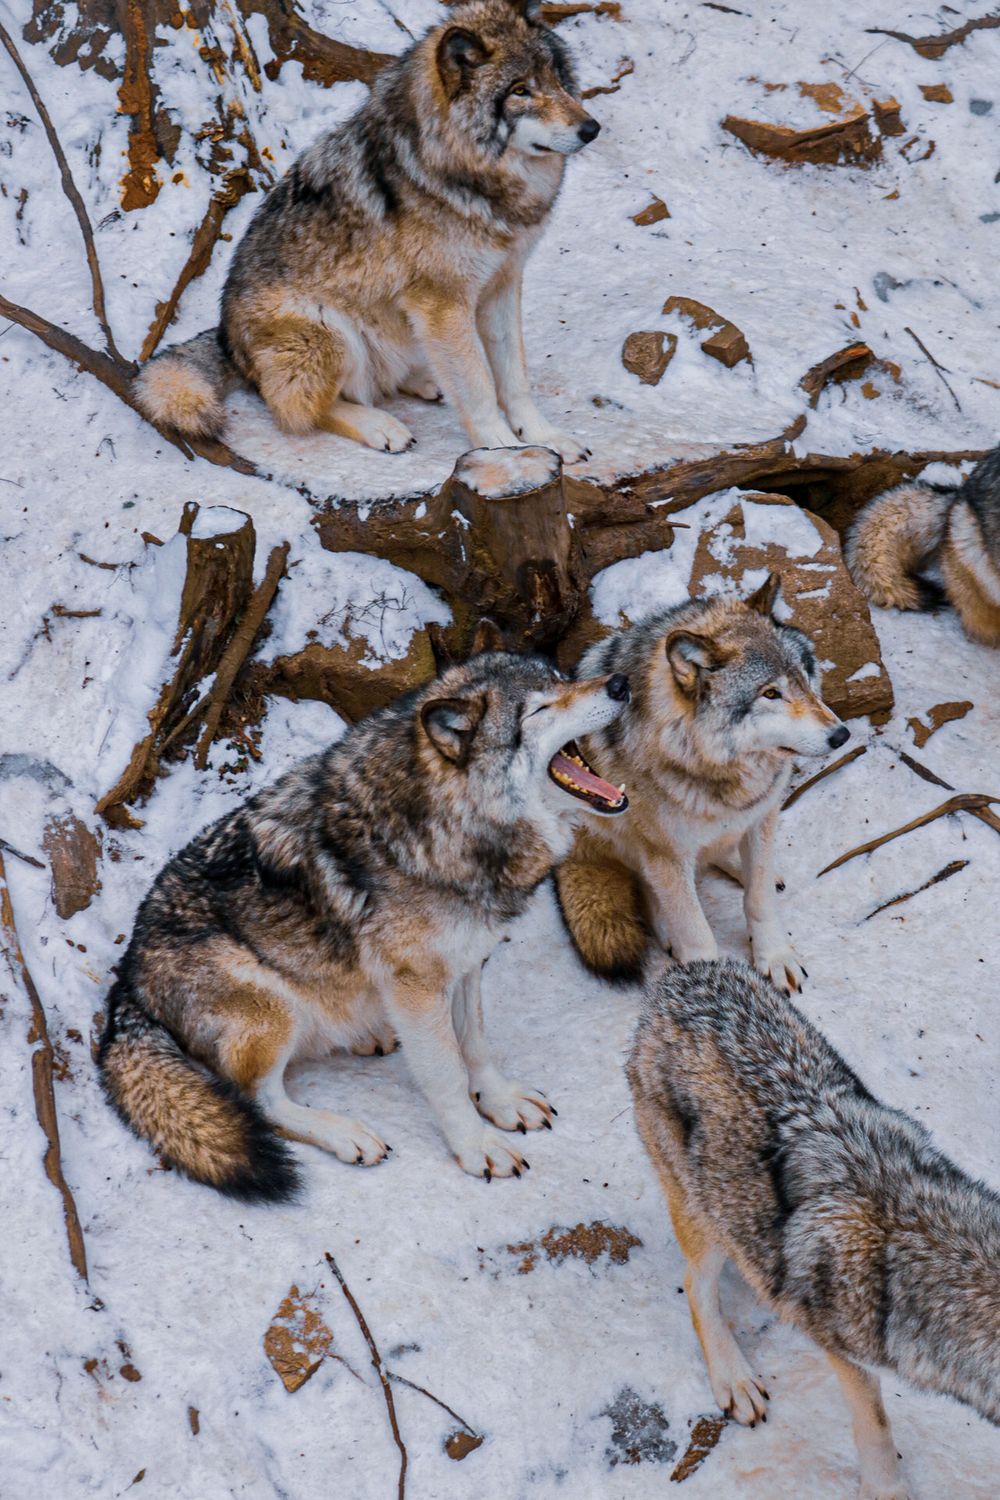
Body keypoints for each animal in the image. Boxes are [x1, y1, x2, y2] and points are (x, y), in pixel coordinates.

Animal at [98, 647, 630, 1201]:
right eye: (540, 709)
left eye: (564, 680)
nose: (619, 683)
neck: (443, 828)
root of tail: (126, 982)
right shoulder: (418, 985)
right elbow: (447, 1075)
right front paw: (476, 1146)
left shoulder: (467, 963)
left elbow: (477, 1046)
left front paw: (501, 1101)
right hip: (270, 1009)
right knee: (263, 1103)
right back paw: (345, 1133)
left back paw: (368, 1034)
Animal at [135, 0, 599, 461]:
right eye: (519, 90)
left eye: (557, 78)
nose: (591, 129)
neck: (463, 174)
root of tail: (226, 342)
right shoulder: (444, 304)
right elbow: (479, 388)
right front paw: (504, 452)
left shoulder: (501, 284)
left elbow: (514, 378)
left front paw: (543, 435)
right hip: (328, 332)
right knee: (294, 408)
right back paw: (381, 425)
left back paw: (423, 382)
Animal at [555, 576, 849, 993]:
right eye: (770, 694)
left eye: (805, 680)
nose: (841, 735)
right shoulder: (667, 854)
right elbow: (697, 934)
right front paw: (707, 979)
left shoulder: (761, 816)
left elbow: (758, 899)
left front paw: (774, 957)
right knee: (648, 890)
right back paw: (667, 929)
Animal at [627, 958, 1000, 1498]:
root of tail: (685, 974)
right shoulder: (840, 1344)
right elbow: (875, 1424)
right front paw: (886, 1489)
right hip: (702, 1212)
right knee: (695, 1286)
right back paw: (734, 1379)